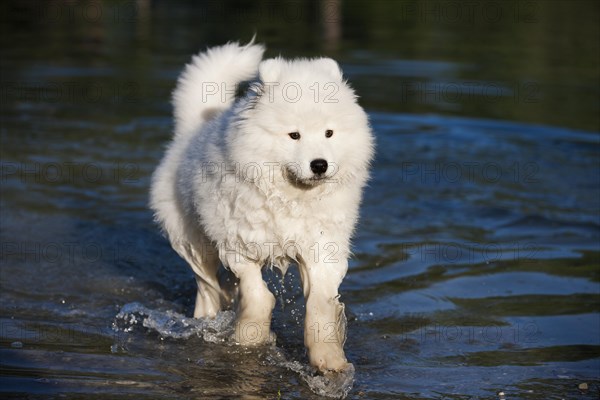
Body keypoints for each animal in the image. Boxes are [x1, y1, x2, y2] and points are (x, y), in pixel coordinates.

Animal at [150, 41, 372, 372]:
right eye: (294, 135)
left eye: (329, 133)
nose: (319, 165)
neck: (290, 197)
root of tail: (191, 130)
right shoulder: (238, 241)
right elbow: (257, 294)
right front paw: (249, 336)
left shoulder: (322, 247)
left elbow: (319, 305)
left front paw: (328, 358)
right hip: (193, 243)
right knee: (207, 287)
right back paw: (208, 319)